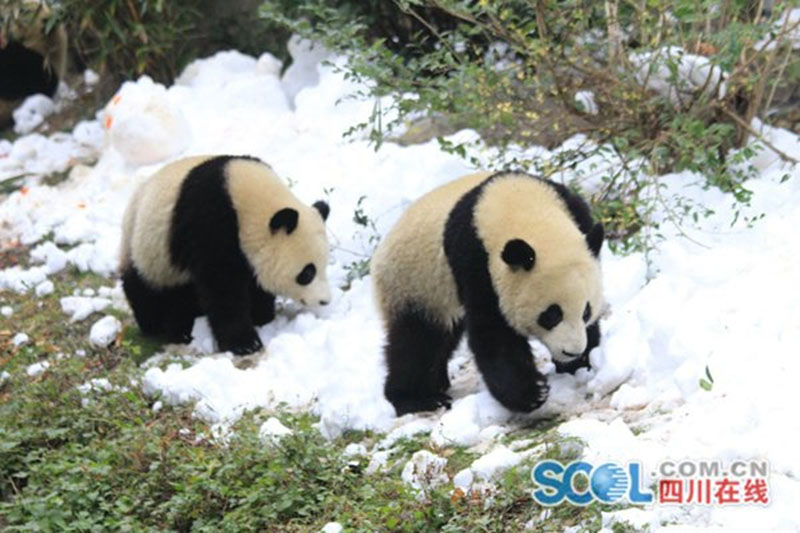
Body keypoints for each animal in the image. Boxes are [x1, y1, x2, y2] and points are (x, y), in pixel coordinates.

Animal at [119, 155, 332, 355]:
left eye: (324, 267)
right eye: (307, 273)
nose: (325, 301)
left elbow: (255, 283)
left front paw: (262, 317)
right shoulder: (209, 222)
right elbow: (222, 287)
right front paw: (245, 343)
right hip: (149, 250)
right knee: (147, 290)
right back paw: (168, 328)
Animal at [371, 171, 604, 416]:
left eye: (586, 311)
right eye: (551, 315)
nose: (573, 351)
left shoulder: (576, 214)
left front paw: (581, 363)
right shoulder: (475, 263)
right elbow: (493, 333)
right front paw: (532, 393)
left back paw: (437, 382)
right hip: (412, 284)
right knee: (416, 341)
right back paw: (418, 399)